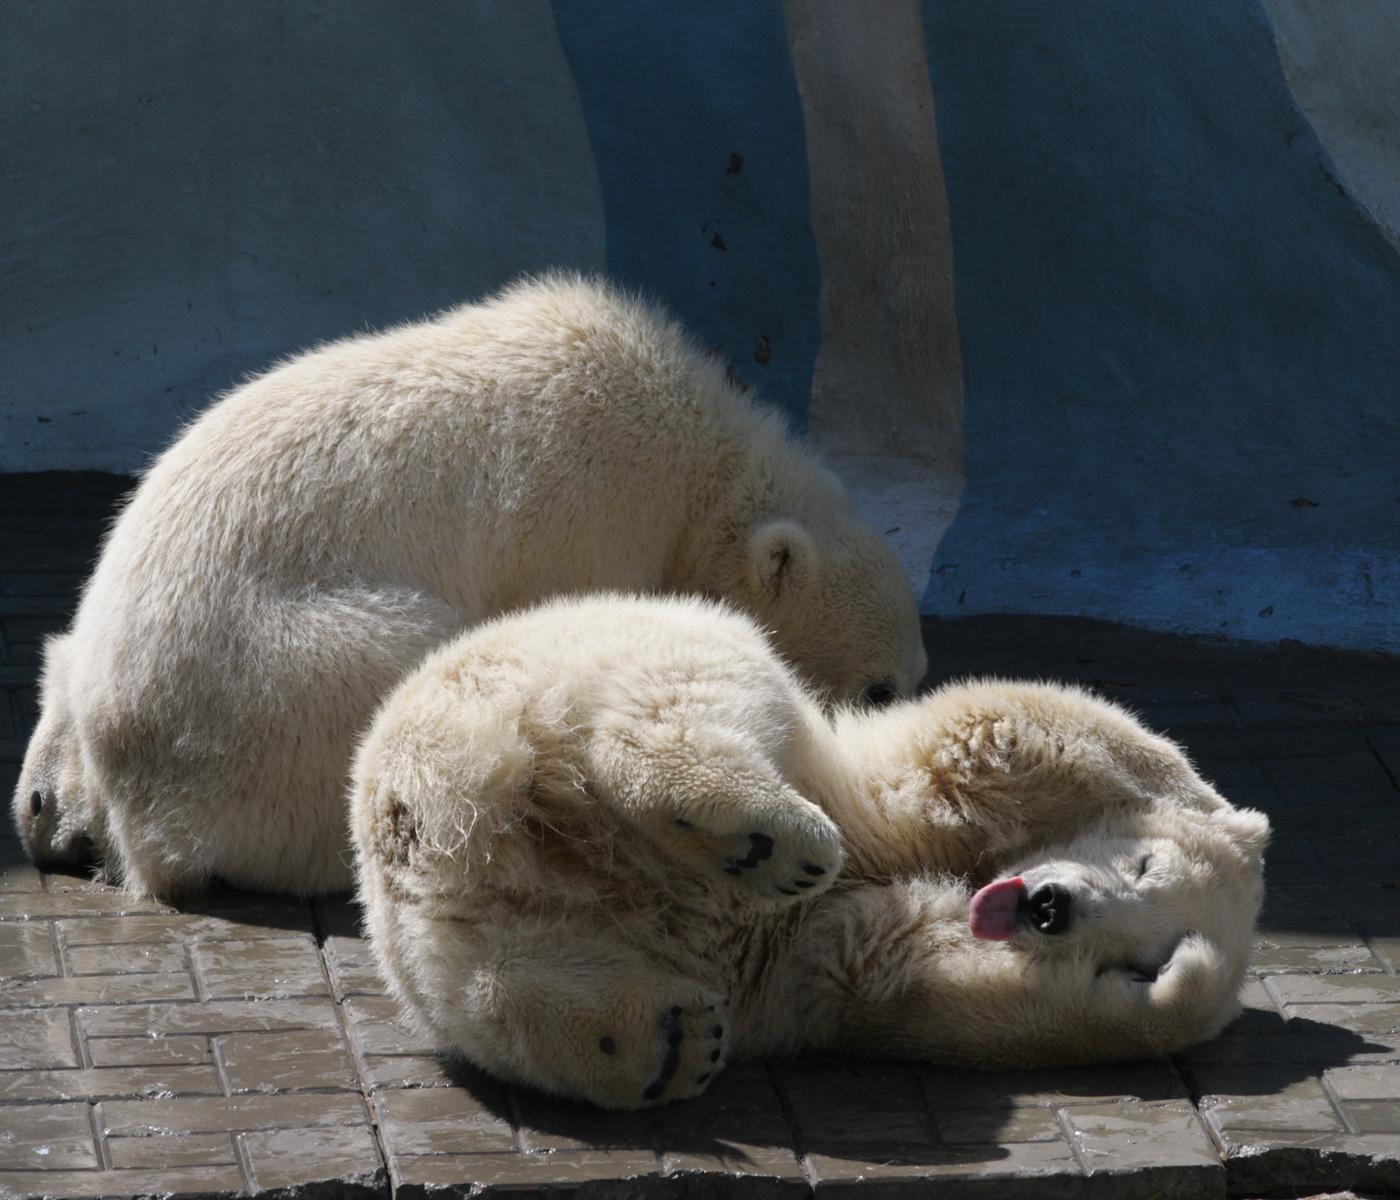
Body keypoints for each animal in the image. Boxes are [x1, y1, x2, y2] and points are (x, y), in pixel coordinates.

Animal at [19, 275, 929, 896]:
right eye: (879, 687)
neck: (703, 459)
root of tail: (140, 808)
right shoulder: (589, 515)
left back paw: (49, 801)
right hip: (283, 687)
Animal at [347, 593, 1271, 1108]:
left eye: (1142, 955)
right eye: (1144, 865)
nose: (1050, 908)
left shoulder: (848, 942)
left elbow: (934, 978)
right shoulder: (902, 788)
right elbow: (1003, 729)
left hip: (471, 946)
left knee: (510, 995)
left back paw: (666, 1044)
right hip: (584, 661)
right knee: (702, 691)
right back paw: (765, 836)